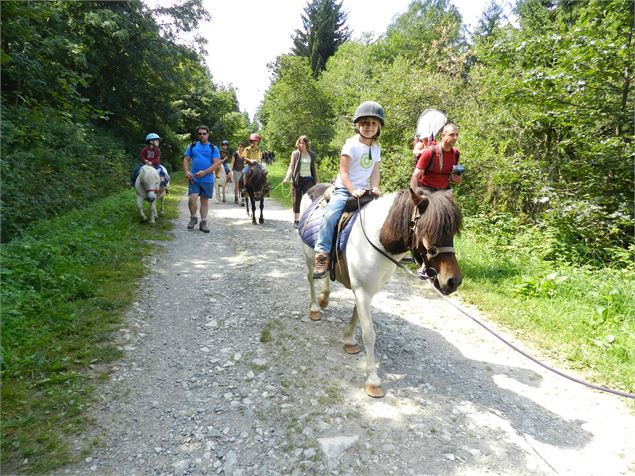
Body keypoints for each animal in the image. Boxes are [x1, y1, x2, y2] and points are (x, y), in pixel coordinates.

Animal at [300, 188, 464, 396]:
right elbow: (369, 334)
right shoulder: (362, 291)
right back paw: (314, 308)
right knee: (311, 278)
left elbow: (356, 317)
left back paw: (324, 299)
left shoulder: (368, 290)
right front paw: (373, 380)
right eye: (429, 230)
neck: (377, 240)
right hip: (309, 257)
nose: (453, 281)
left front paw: (349, 340)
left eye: (452, 232)